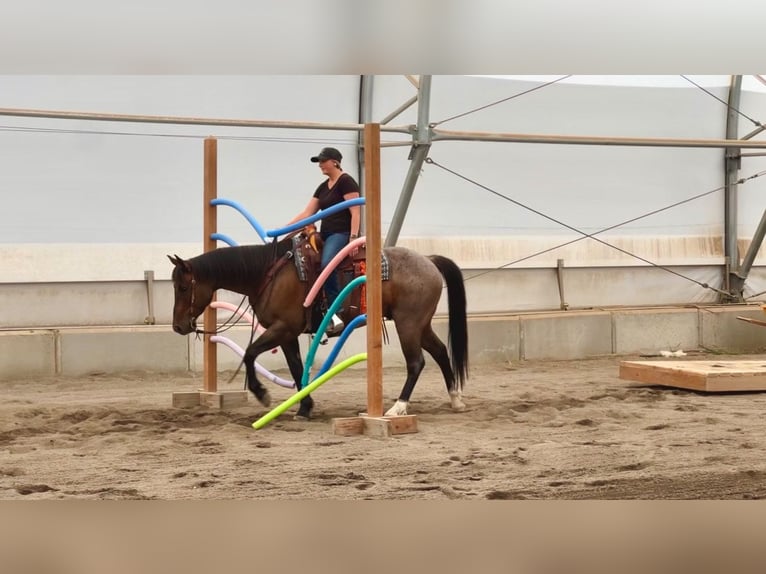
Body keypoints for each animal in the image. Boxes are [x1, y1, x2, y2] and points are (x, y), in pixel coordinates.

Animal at [167, 233, 469, 420]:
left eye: (183, 287)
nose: (178, 326)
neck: (267, 273)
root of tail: (429, 260)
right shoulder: (287, 335)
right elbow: (296, 367)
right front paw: (304, 407)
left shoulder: (282, 328)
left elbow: (251, 353)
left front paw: (262, 394)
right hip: (421, 325)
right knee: (440, 352)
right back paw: (455, 399)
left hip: (409, 324)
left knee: (416, 362)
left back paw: (398, 407)